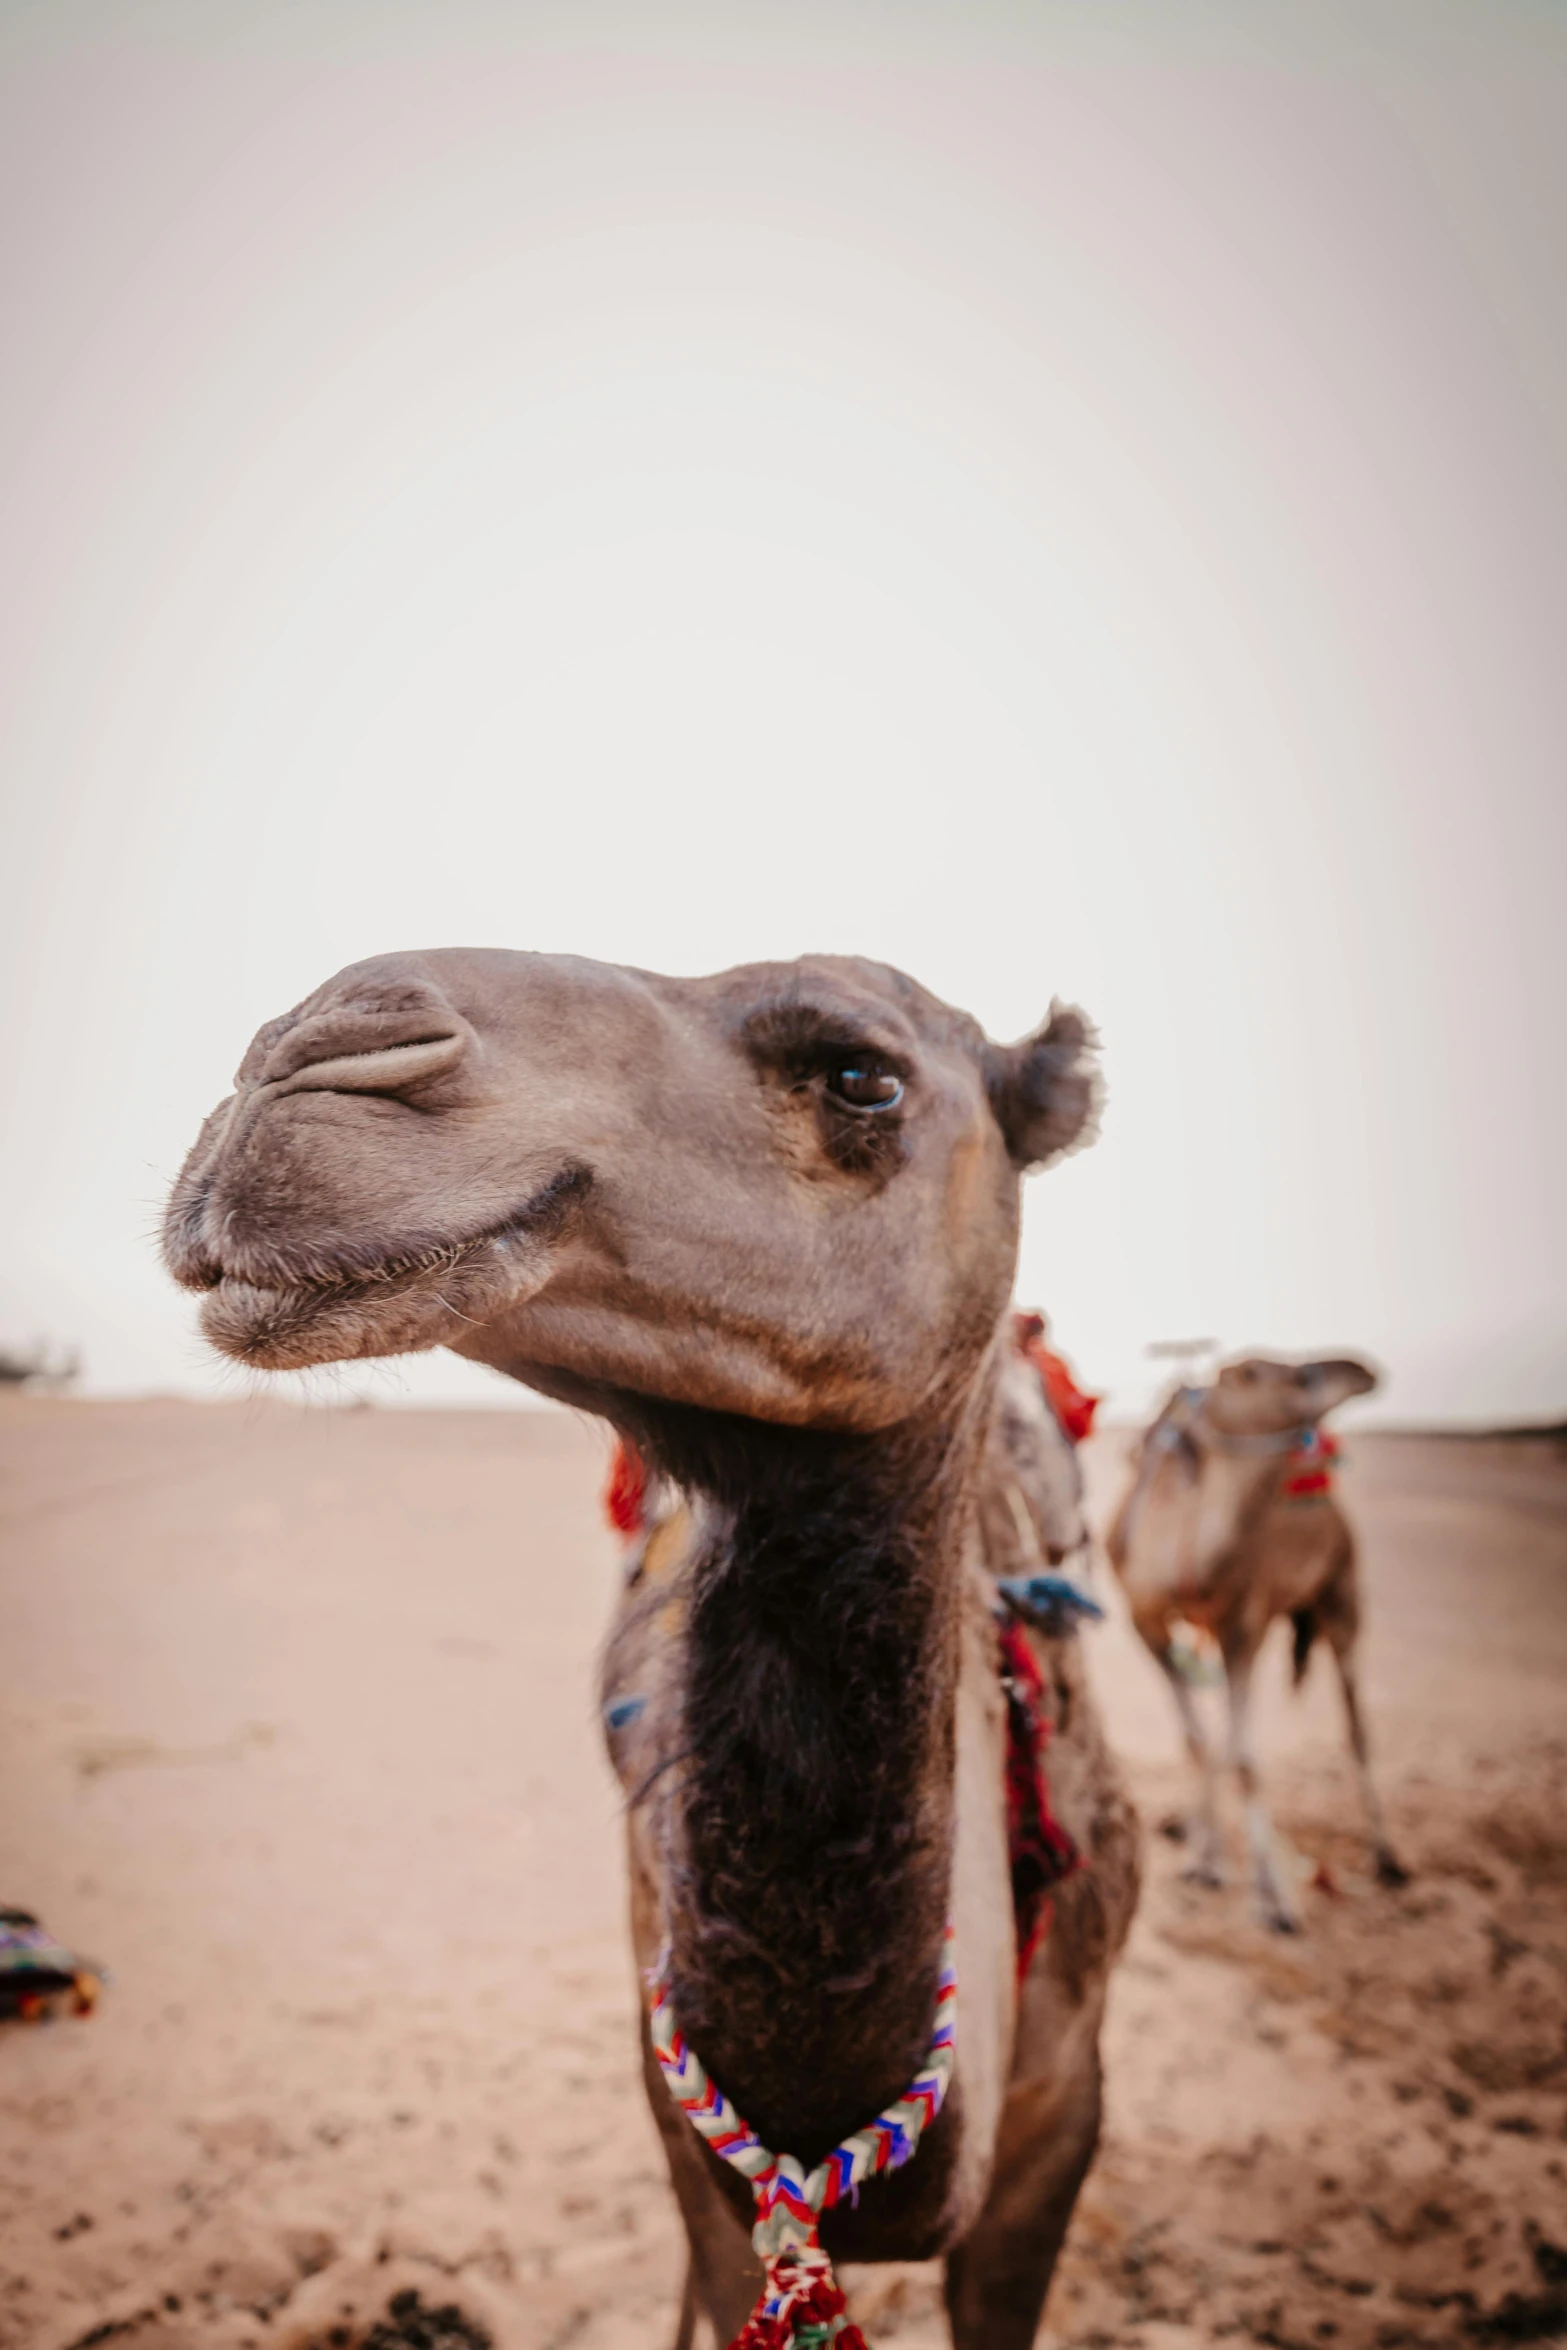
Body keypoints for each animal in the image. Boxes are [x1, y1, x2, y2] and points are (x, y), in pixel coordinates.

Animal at [1104, 1353, 1409, 1936]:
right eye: (1248, 1373)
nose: (1360, 1370)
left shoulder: (1243, 1616)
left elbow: (1245, 1755)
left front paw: (1274, 1903)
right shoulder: (1144, 1620)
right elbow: (1199, 1739)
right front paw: (1208, 1861)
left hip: (1340, 1590)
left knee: (1356, 1726)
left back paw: (1389, 1858)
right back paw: (1195, 1835)